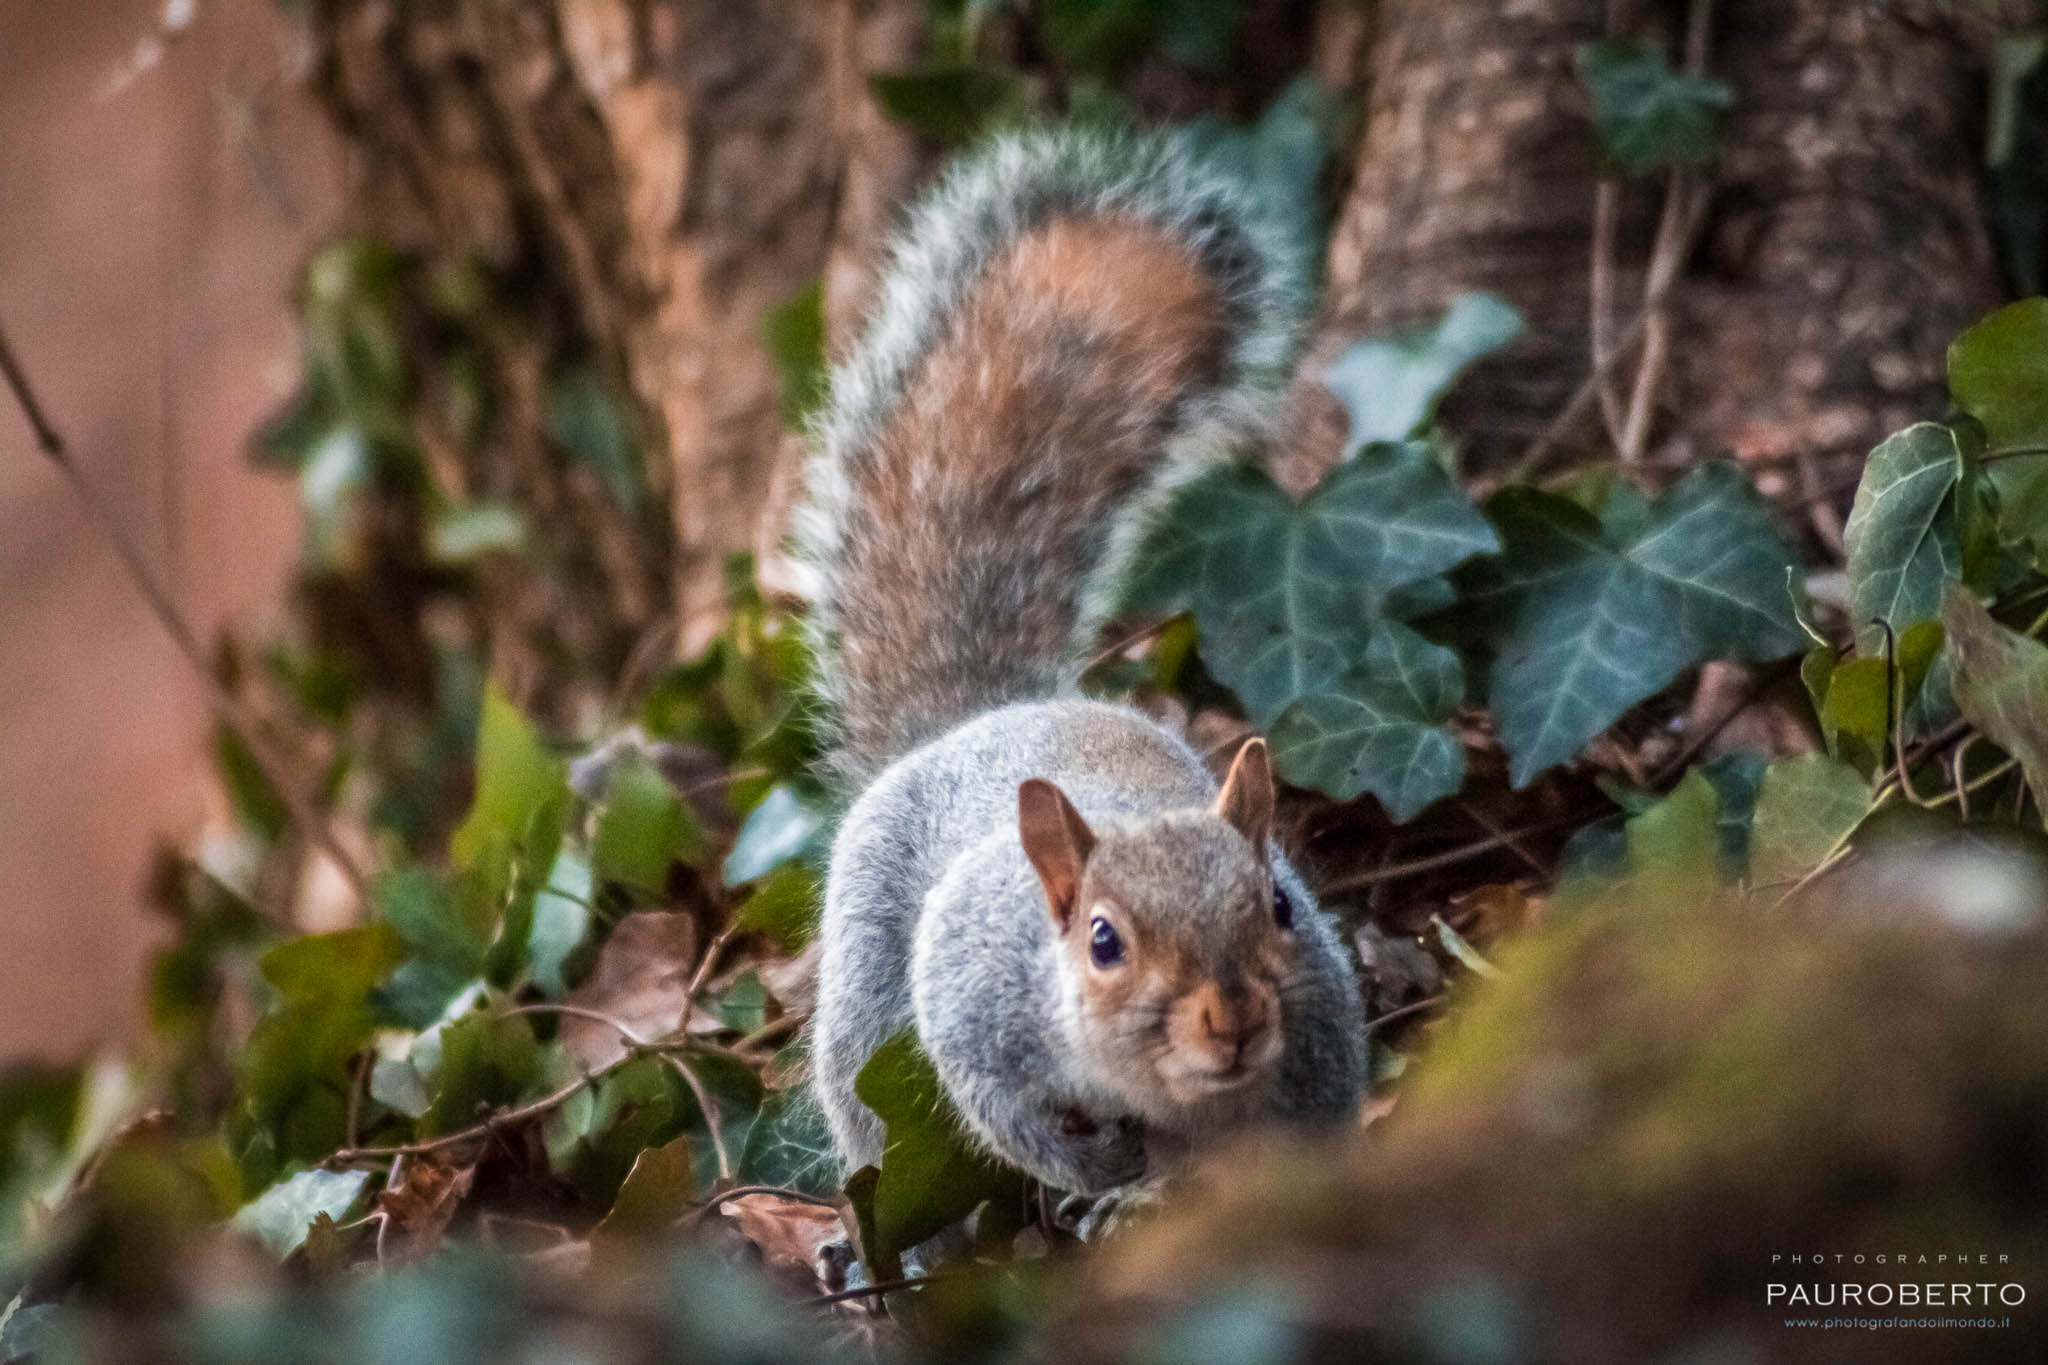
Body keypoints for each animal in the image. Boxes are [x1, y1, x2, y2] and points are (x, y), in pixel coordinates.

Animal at [800, 127, 1367, 1196]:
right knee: (866, 1103)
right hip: (863, 969)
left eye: (1279, 905)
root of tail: (982, 716)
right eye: (1103, 942)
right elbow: (998, 1107)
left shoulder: (1321, 1032)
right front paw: (1097, 1173)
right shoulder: (977, 998)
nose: (1234, 1019)